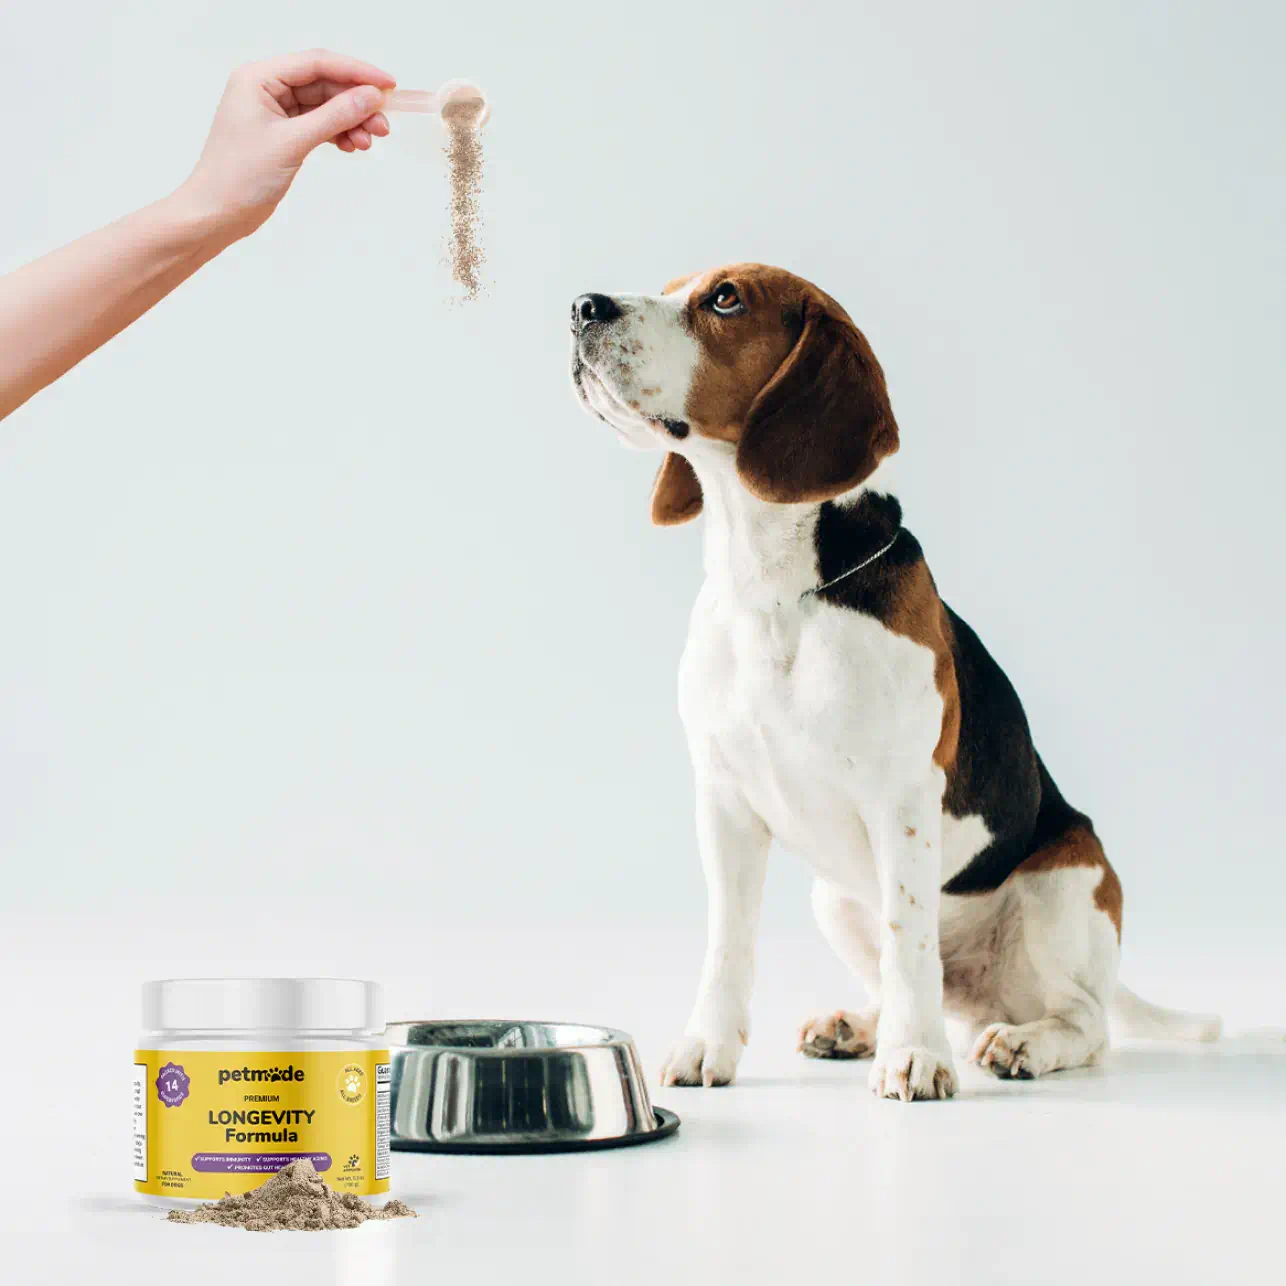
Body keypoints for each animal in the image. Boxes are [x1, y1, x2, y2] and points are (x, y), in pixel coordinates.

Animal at [568, 263, 1219, 1105]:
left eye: (725, 299)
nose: (583, 306)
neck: (774, 590)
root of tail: (984, 999)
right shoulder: (725, 803)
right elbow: (728, 943)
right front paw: (709, 1045)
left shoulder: (902, 799)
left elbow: (910, 939)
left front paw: (914, 1057)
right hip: (836, 897)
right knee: (916, 981)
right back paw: (862, 1026)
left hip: (1064, 884)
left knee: (1082, 1022)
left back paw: (1019, 1043)